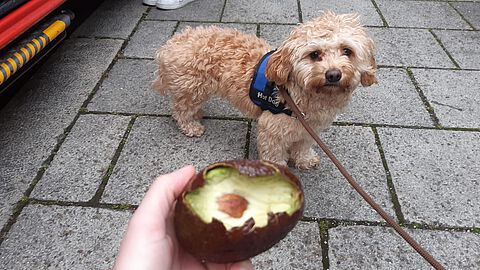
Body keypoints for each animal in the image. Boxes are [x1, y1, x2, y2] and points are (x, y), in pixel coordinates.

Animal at [154, 12, 378, 170]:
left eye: (347, 51)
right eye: (315, 54)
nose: (333, 74)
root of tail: (171, 43)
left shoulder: (308, 129)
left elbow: (302, 146)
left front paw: (304, 160)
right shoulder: (272, 130)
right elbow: (274, 155)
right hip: (193, 87)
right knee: (181, 109)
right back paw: (191, 126)